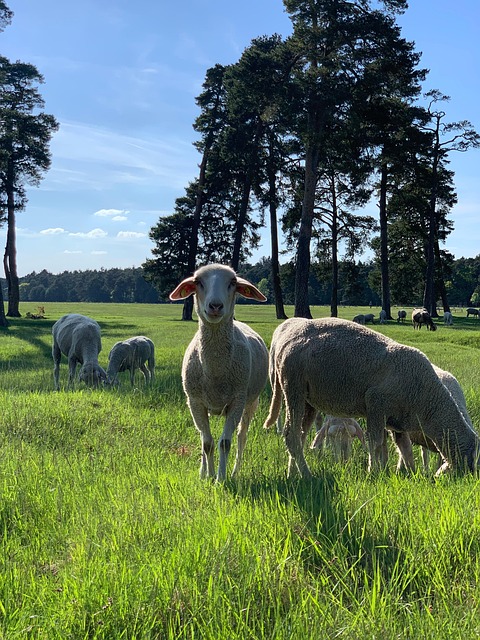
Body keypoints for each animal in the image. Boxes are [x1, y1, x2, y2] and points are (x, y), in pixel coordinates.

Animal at [169, 264, 268, 482]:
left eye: (233, 282)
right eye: (197, 281)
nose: (215, 306)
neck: (215, 371)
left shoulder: (236, 401)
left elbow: (225, 442)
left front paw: (221, 478)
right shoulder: (195, 402)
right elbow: (207, 443)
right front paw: (208, 476)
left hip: (251, 402)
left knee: (241, 436)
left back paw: (234, 472)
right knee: (203, 436)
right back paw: (203, 471)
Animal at [263, 317, 479, 478]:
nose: (469, 477)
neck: (428, 401)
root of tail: (286, 335)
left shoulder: (396, 422)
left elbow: (402, 449)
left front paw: (407, 474)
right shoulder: (376, 404)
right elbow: (375, 442)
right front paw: (373, 472)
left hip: (308, 399)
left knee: (300, 435)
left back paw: (293, 474)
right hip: (293, 387)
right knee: (291, 435)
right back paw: (306, 475)